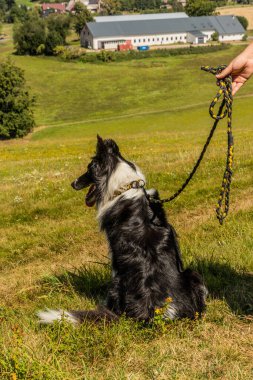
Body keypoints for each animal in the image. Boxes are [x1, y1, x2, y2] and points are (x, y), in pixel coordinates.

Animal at [38, 137, 208, 324]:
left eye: (89, 168)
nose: (72, 184)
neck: (127, 185)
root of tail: (159, 310)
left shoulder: (114, 255)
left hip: (116, 284)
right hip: (192, 274)